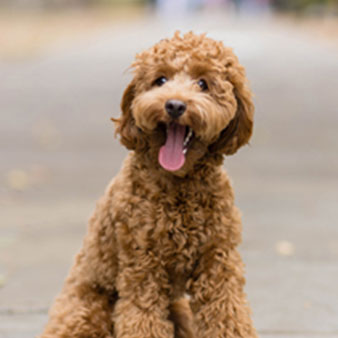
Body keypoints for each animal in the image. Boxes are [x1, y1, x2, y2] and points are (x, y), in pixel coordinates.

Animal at [40, 31, 256, 338]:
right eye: (160, 80)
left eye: (203, 83)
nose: (175, 105)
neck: (179, 186)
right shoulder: (142, 264)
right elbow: (143, 318)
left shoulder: (218, 261)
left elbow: (227, 313)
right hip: (89, 310)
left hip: (179, 311)